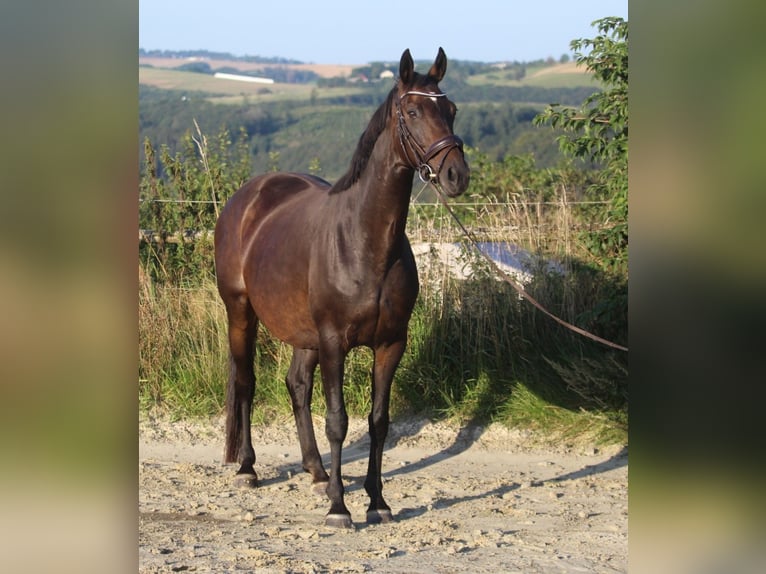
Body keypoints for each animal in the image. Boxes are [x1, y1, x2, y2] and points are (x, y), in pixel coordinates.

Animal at [213, 47, 472, 528]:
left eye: (451, 110)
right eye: (412, 111)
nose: (455, 175)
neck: (365, 241)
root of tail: (248, 196)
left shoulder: (390, 344)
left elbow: (378, 421)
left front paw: (377, 502)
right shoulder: (335, 342)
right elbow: (338, 420)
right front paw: (339, 507)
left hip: (304, 333)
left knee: (296, 385)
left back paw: (316, 472)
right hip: (241, 312)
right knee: (246, 382)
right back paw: (248, 468)